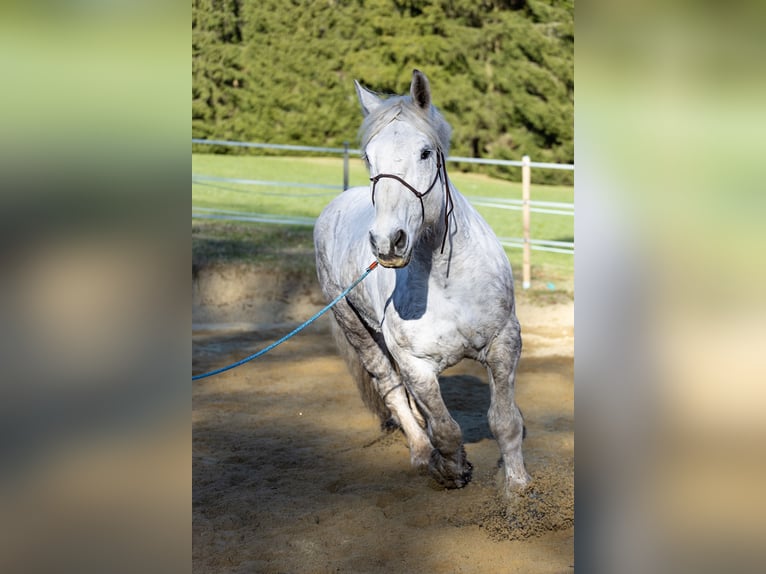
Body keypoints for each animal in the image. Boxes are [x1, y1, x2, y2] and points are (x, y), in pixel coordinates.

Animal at [314, 69, 530, 495]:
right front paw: (450, 469)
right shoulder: (416, 365)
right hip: (356, 329)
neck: (447, 279)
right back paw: (419, 451)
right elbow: (446, 429)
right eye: (369, 156)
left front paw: (518, 491)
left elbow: (505, 421)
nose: (387, 241)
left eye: (425, 152)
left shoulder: (503, 343)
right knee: (391, 388)